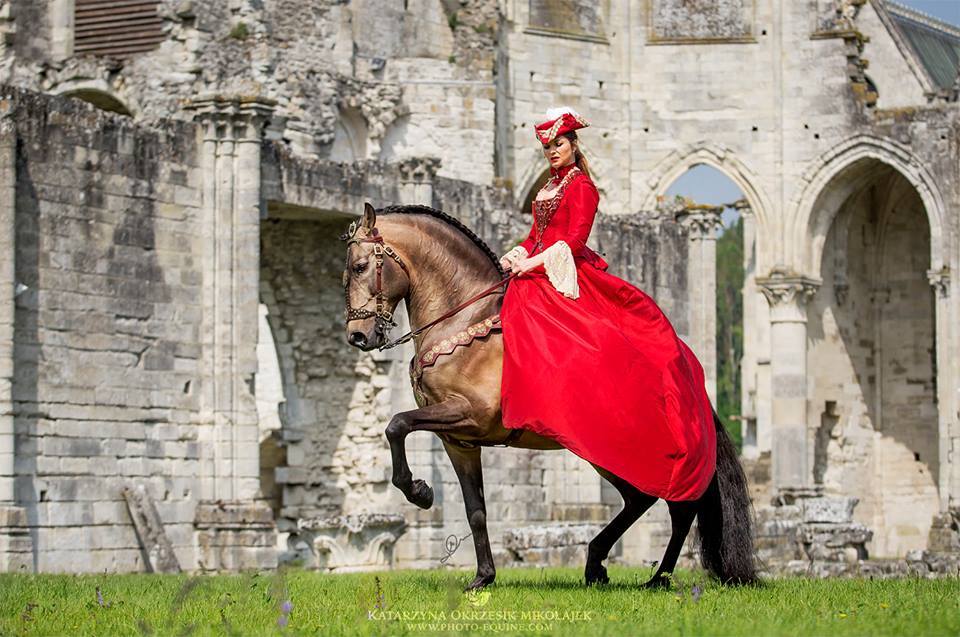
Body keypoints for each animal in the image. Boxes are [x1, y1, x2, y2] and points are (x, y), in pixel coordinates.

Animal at [342, 202, 752, 592]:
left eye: (361, 266)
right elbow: (476, 509)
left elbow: (396, 424)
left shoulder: (467, 413)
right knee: (641, 500)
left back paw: (658, 578)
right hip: (604, 454)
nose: (358, 337)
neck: (463, 323)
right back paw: (597, 563)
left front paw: (420, 492)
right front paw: (483, 577)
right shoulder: (458, 440)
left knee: (680, 508)